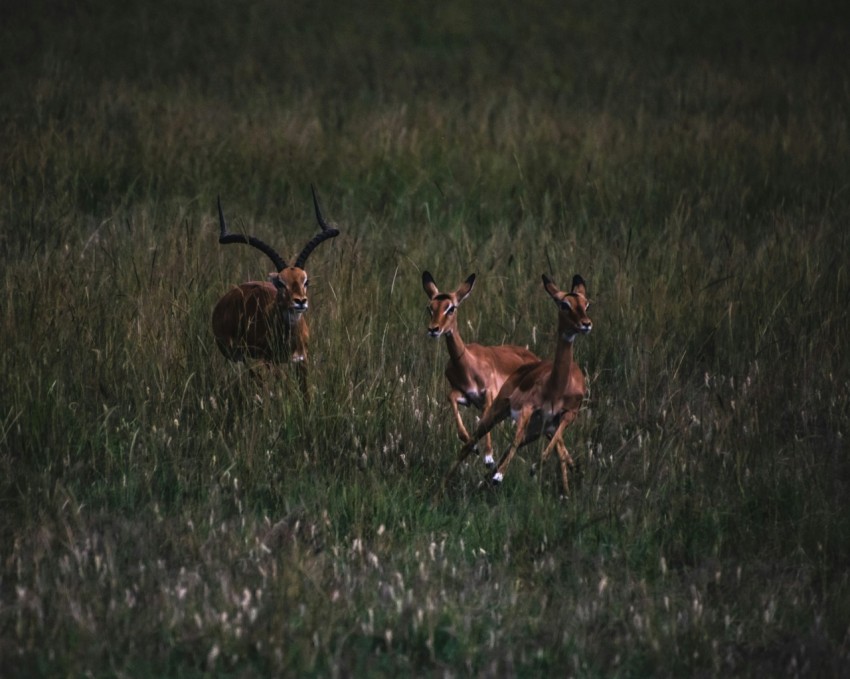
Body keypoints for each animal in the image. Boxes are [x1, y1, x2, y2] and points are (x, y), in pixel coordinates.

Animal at [211, 187, 339, 393]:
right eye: (280, 283)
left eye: (306, 281)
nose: (300, 301)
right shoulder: (267, 361)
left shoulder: (302, 360)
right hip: (243, 360)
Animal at [423, 271, 539, 467]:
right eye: (430, 307)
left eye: (451, 308)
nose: (433, 329)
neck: (468, 364)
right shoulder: (467, 397)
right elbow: (451, 398)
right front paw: (473, 446)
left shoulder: (489, 396)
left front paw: (489, 457)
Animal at [442, 274, 592, 495]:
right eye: (565, 304)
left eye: (586, 303)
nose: (586, 324)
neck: (555, 388)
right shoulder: (528, 410)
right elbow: (515, 441)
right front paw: (498, 476)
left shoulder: (564, 417)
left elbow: (545, 449)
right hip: (498, 412)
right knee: (469, 444)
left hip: (537, 428)